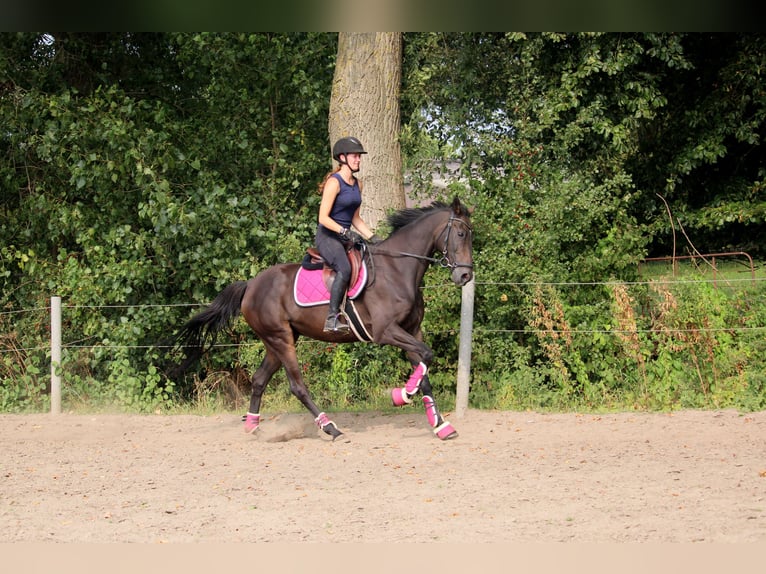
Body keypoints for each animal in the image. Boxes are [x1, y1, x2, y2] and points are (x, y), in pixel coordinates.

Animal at [172, 197, 474, 440]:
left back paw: (253, 426)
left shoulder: (412, 329)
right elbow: (427, 355)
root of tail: (250, 285)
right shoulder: (387, 331)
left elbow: (425, 369)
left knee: (258, 379)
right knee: (297, 386)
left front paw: (441, 426)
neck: (397, 269)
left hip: (277, 340)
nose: (465, 276)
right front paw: (401, 395)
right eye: (460, 233)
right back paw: (331, 428)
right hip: (282, 340)